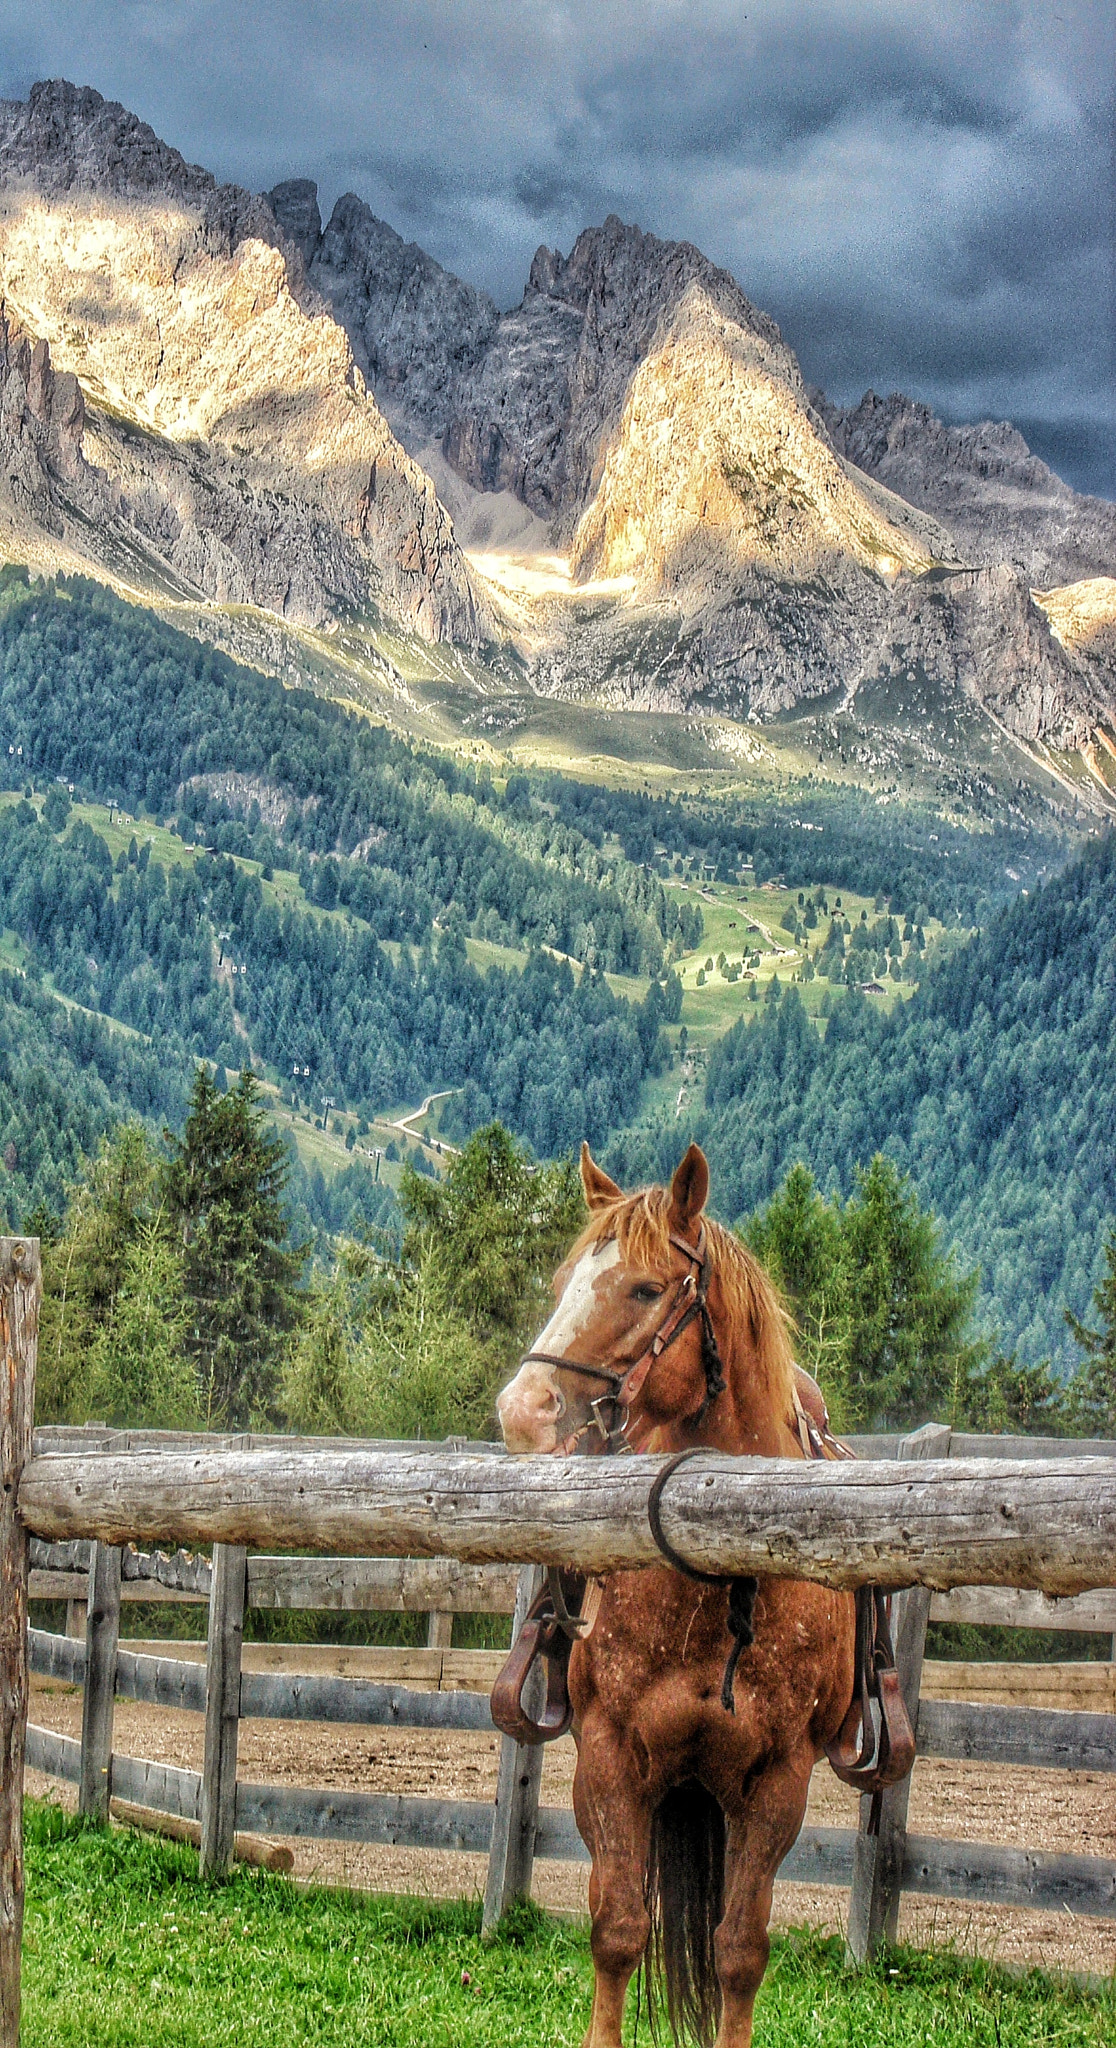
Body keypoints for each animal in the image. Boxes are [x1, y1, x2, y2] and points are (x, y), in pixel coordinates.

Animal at [495, 1146, 851, 2048]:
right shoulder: (611, 1755)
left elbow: (739, 1952)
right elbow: (618, 1929)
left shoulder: (777, 1781)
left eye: (646, 1288)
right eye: (563, 1283)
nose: (523, 1411)